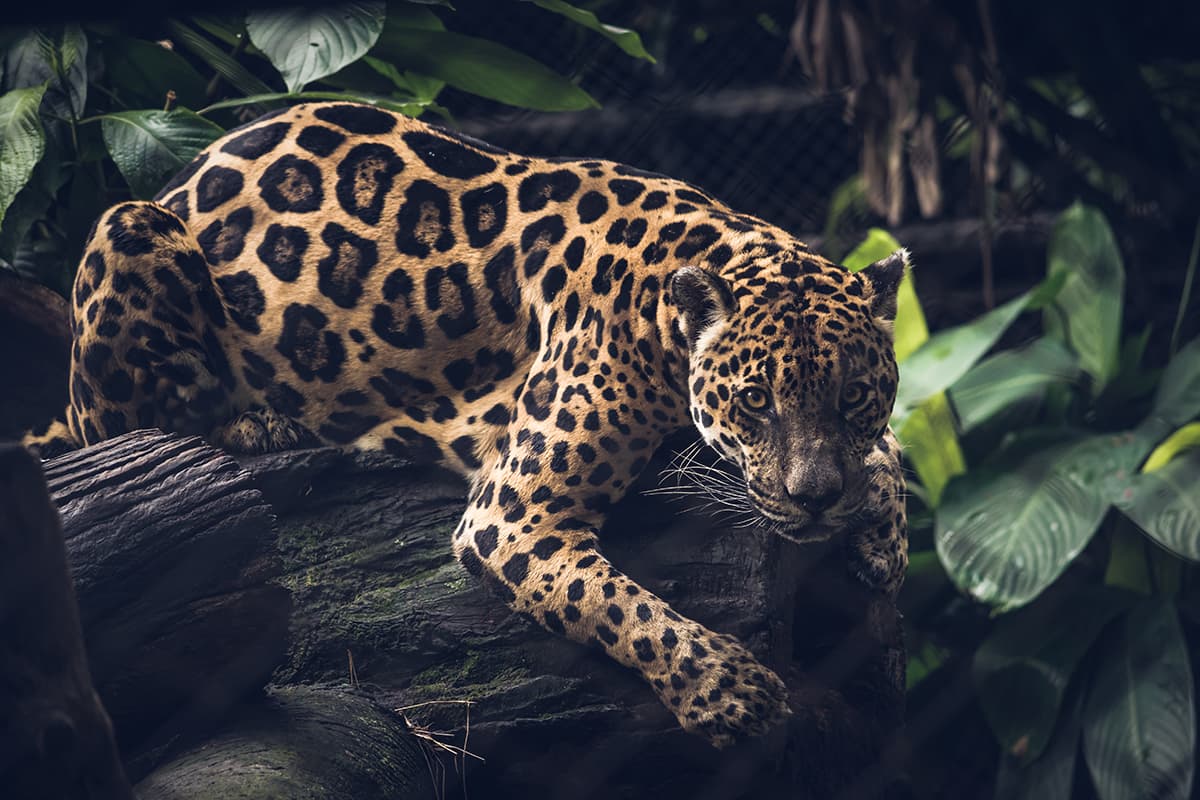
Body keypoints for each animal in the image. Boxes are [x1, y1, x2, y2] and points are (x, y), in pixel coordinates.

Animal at [24, 101, 908, 748]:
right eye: (755, 400)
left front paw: (882, 533)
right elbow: (621, 607)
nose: (816, 500)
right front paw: (730, 691)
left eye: (855, 395)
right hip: (128, 225)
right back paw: (261, 426)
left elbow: (889, 453)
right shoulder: (513, 517)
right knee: (126, 425)